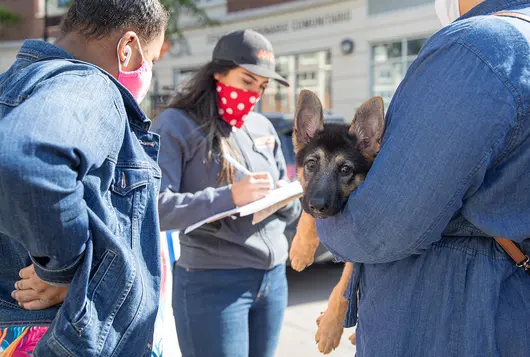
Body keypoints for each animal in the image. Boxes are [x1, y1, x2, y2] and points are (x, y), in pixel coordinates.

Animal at [288, 89, 384, 354]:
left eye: (345, 170)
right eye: (311, 164)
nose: (319, 205)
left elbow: (343, 289)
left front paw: (330, 329)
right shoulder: (311, 198)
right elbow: (307, 214)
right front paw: (301, 249)